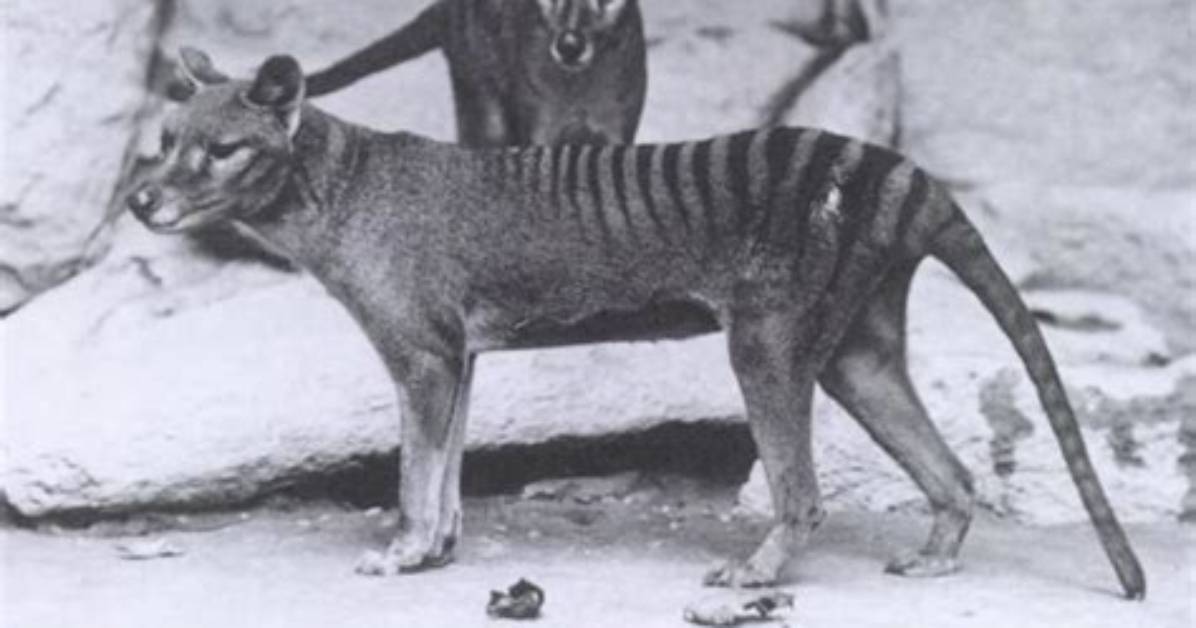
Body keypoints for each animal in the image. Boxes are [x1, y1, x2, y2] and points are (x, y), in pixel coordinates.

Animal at [124, 49, 1146, 600]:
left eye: (221, 150)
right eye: (165, 142)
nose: (139, 201)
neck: (340, 183)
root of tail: (906, 175)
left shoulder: (419, 354)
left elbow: (416, 469)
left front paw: (404, 552)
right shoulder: (457, 358)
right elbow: (445, 465)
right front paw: (439, 550)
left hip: (766, 344)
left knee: (803, 491)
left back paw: (757, 572)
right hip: (858, 355)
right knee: (952, 473)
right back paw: (934, 558)